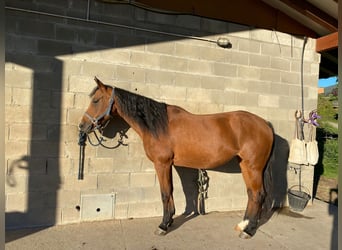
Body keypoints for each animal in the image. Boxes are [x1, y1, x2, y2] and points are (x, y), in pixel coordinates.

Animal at [79, 76, 274, 238]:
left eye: (96, 100)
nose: (82, 126)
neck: (158, 125)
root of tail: (265, 124)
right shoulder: (170, 165)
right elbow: (173, 192)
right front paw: (169, 221)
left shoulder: (163, 164)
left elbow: (165, 192)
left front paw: (163, 225)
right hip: (245, 165)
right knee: (251, 194)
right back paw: (243, 225)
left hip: (254, 167)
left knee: (258, 195)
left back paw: (249, 230)